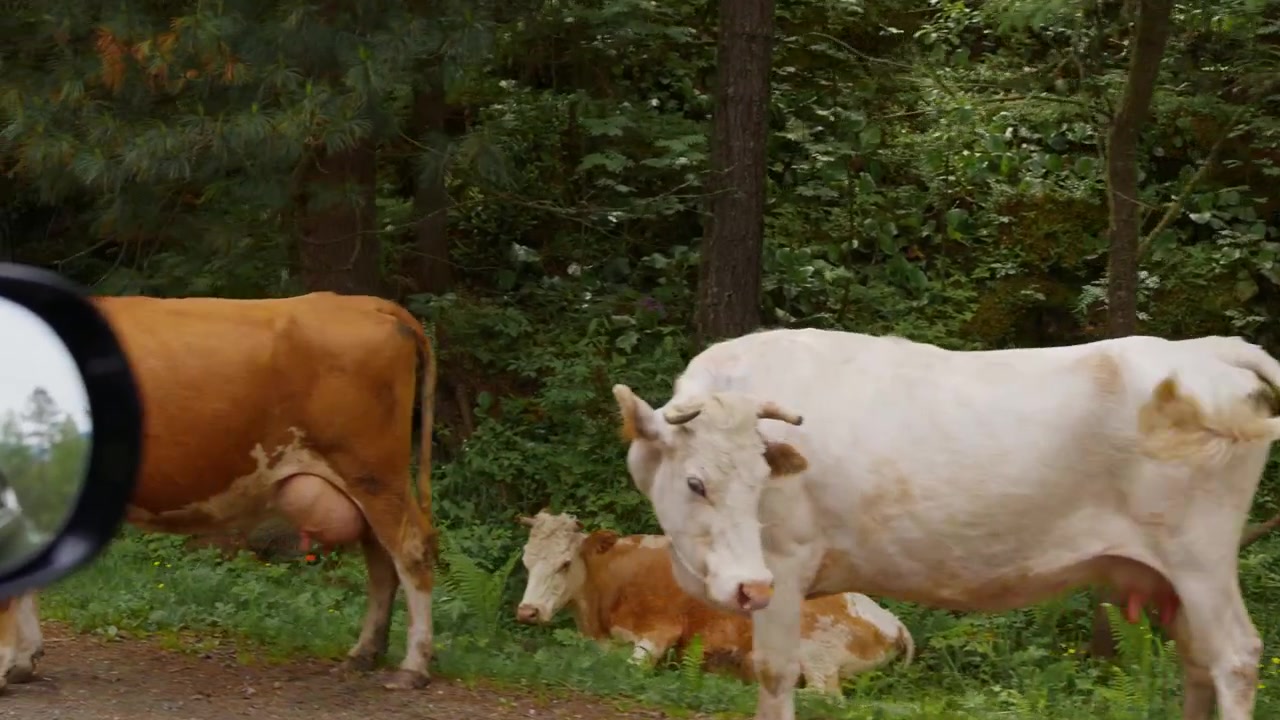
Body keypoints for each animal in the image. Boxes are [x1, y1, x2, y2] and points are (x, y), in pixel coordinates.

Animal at [0, 291, 439, 692]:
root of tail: (368, 303)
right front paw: (22, 662)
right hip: (369, 483)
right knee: (382, 562)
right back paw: (363, 655)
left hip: (373, 472)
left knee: (410, 552)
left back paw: (412, 668)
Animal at [513, 511, 913, 693]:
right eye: (526, 560)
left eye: (565, 563)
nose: (527, 611)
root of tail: (889, 619)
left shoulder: (661, 630)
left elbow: (630, 668)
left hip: (814, 648)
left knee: (823, 696)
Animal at [611, 328, 1280, 720]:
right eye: (696, 482)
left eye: (759, 482)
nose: (747, 587)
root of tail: (1204, 347)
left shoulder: (785, 565)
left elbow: (775, 674)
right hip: (1177, 576)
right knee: (1198, 661)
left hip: (1201, 557)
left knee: (1235, 656)